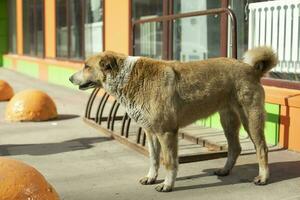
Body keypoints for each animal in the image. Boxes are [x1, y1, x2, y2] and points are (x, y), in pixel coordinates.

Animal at [69, 47, 278, 192]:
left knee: (262, 148)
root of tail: (252, 69)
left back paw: (263, 177)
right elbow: (154, 158)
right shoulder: (151, 133)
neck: (127, 77)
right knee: (235, 148)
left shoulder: (166, 132)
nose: (70, 78)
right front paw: (151, 177)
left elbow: (169, 162)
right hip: (228, 120)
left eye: (86, 66)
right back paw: (224, 170)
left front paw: (167, 185)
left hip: (250, 119)